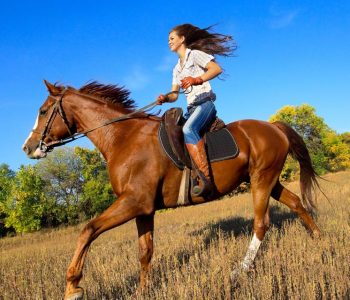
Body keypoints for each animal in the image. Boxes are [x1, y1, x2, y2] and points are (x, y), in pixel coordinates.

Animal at [23, 80, 322, 300]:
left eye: (42, 111)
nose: (28, 147)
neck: (123, 138)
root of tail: (273, 126)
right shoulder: (144, 209)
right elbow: (145, 251)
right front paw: (142, 291)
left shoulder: (134, 202)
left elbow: (88, 230)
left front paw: (72, 287)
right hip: (268, 180)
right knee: (296, 202)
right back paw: (319, 238)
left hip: (261, 180)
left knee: (261, 223)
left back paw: (240, 270)